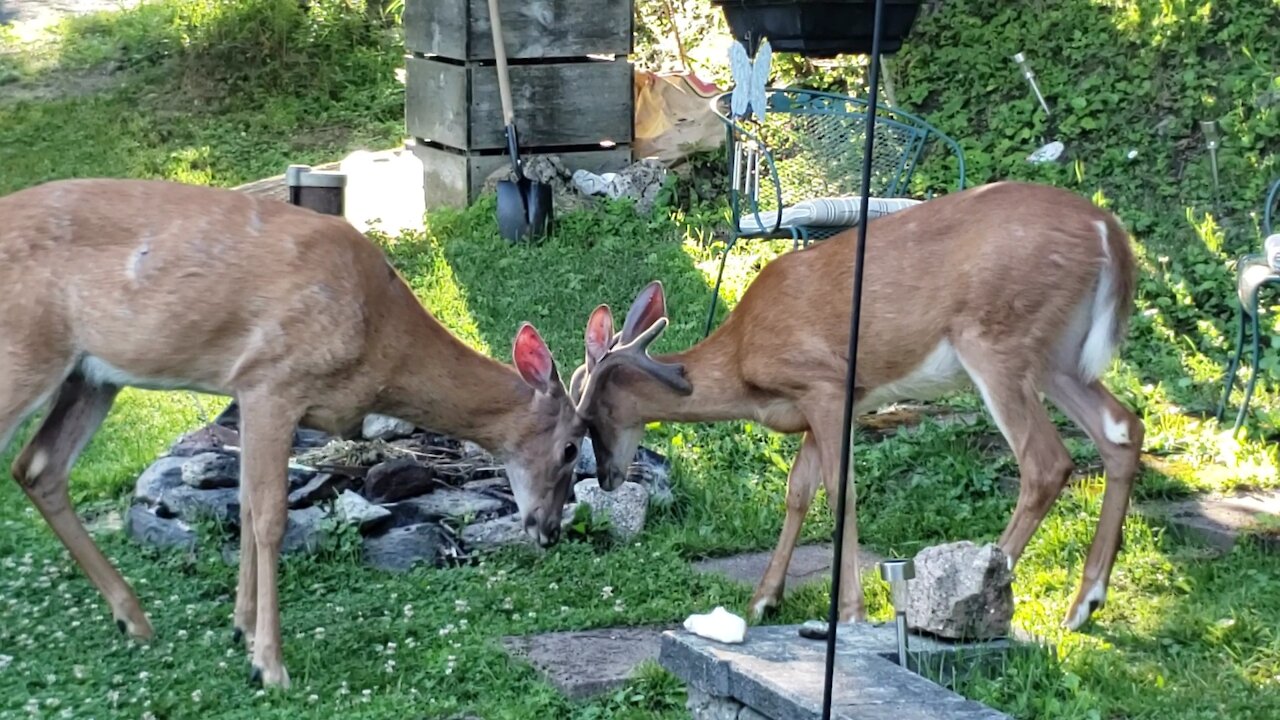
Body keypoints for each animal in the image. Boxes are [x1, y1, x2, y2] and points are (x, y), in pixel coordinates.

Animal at [0, 176, 586, 686]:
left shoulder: (249, 395)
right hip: (25, 352)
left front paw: (240, 628)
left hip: (90, 375)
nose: (549, 530)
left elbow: (244, 504)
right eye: (570, 448)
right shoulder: (272, 381)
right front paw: (269, 665)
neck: (381, 339)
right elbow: (269, 519)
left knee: (39, 467)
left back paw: (134, 620)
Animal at [565, 178, 1146, 627]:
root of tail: (1108, 231)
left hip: (999, 340)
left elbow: (838, 492)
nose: (609, 479)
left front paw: (849, 612)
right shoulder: (814, 408)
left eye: (590, 413)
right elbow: (798, 492)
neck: (743, 363)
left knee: (1046, 462)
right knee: (1122, 428)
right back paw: (1084, 605)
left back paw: (979, 594)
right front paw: (763, 600)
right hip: (1059, 356)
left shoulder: (826, 384)